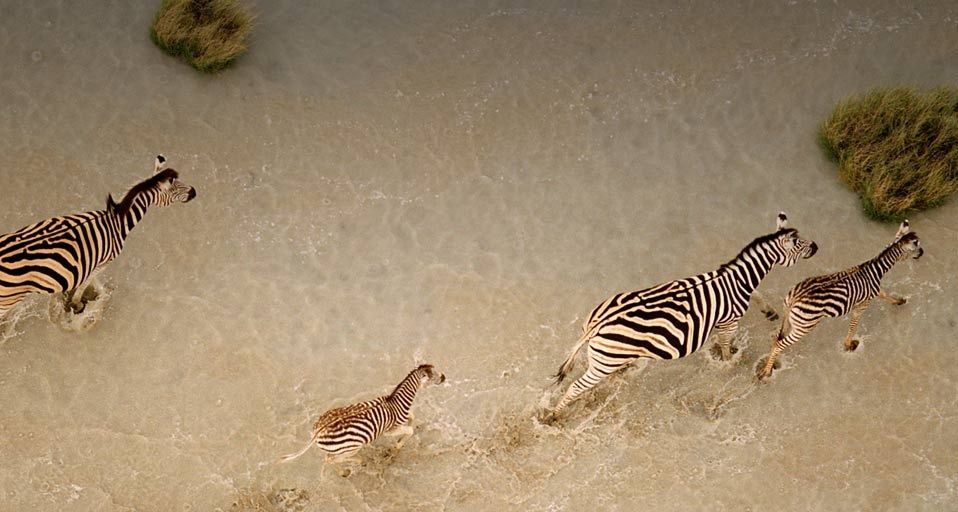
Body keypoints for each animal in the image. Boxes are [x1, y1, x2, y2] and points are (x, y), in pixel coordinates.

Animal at [0, 155, 196, 326]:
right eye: (174, 187)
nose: (194, 192)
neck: (117, 221)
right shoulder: (102, 263)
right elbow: (83, 286)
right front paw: (76, 305)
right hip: (7, 299)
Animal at [279, 364, 445, 468]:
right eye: (434, 376)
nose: (444, 376)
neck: (395, 402)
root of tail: (318, 432)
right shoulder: (390, 430)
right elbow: (409, 431)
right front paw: (397, 445)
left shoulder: (402, 419)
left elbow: (412, 417)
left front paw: (408, 433)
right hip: (351, 447)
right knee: (333, 460)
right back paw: (354, 465)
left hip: (335, 447)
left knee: (328, 459)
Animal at [547, 213, 818, 419]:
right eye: (800, 244)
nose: (816, 246)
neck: (736, 280)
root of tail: (595, 325)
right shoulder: (729, 322)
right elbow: (726, 347)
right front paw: (728, 364)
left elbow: (757, 295)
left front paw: (769, 311)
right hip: (604, 362)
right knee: (575, 387)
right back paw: (554, 416)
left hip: (607, 358)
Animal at [757, 221, 923, 380]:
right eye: (916, 245)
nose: (922, 253)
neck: (875, 269)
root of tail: (794, 299)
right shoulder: (861, 306)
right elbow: (853, 327)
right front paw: (848, 345)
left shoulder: (873, 294)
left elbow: (885, 295)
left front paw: (899, 301)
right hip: (804, 327)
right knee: (779, 344)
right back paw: (766, 372)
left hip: (790, 320)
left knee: (775, 339)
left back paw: (769, 365)